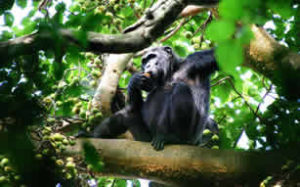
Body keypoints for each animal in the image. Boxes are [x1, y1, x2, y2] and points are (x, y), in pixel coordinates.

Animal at [89, 46, 218, 150]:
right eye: (145, 61)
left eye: (152, 56)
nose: (148, 65)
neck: (171, 72)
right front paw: (134, 81)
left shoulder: (196, 61)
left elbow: (214, 55)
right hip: (144, 137)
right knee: (125, 114)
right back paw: (92, 135)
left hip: (192, 138)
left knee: (181, 88)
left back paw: (174, 138)